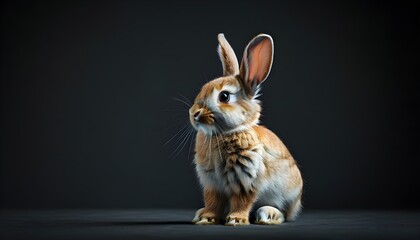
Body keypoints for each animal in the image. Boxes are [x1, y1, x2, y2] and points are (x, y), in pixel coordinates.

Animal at [189, 33, 302, 225]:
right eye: (202, 89)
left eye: (224, 96)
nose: (193, 114)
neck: (225, 132)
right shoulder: (212, 184)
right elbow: (212, 201)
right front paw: (206, 218)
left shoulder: (247, 179)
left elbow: (242, 201)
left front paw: (236, 219)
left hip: (289, 196)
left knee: (284, 214)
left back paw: (268, 215)